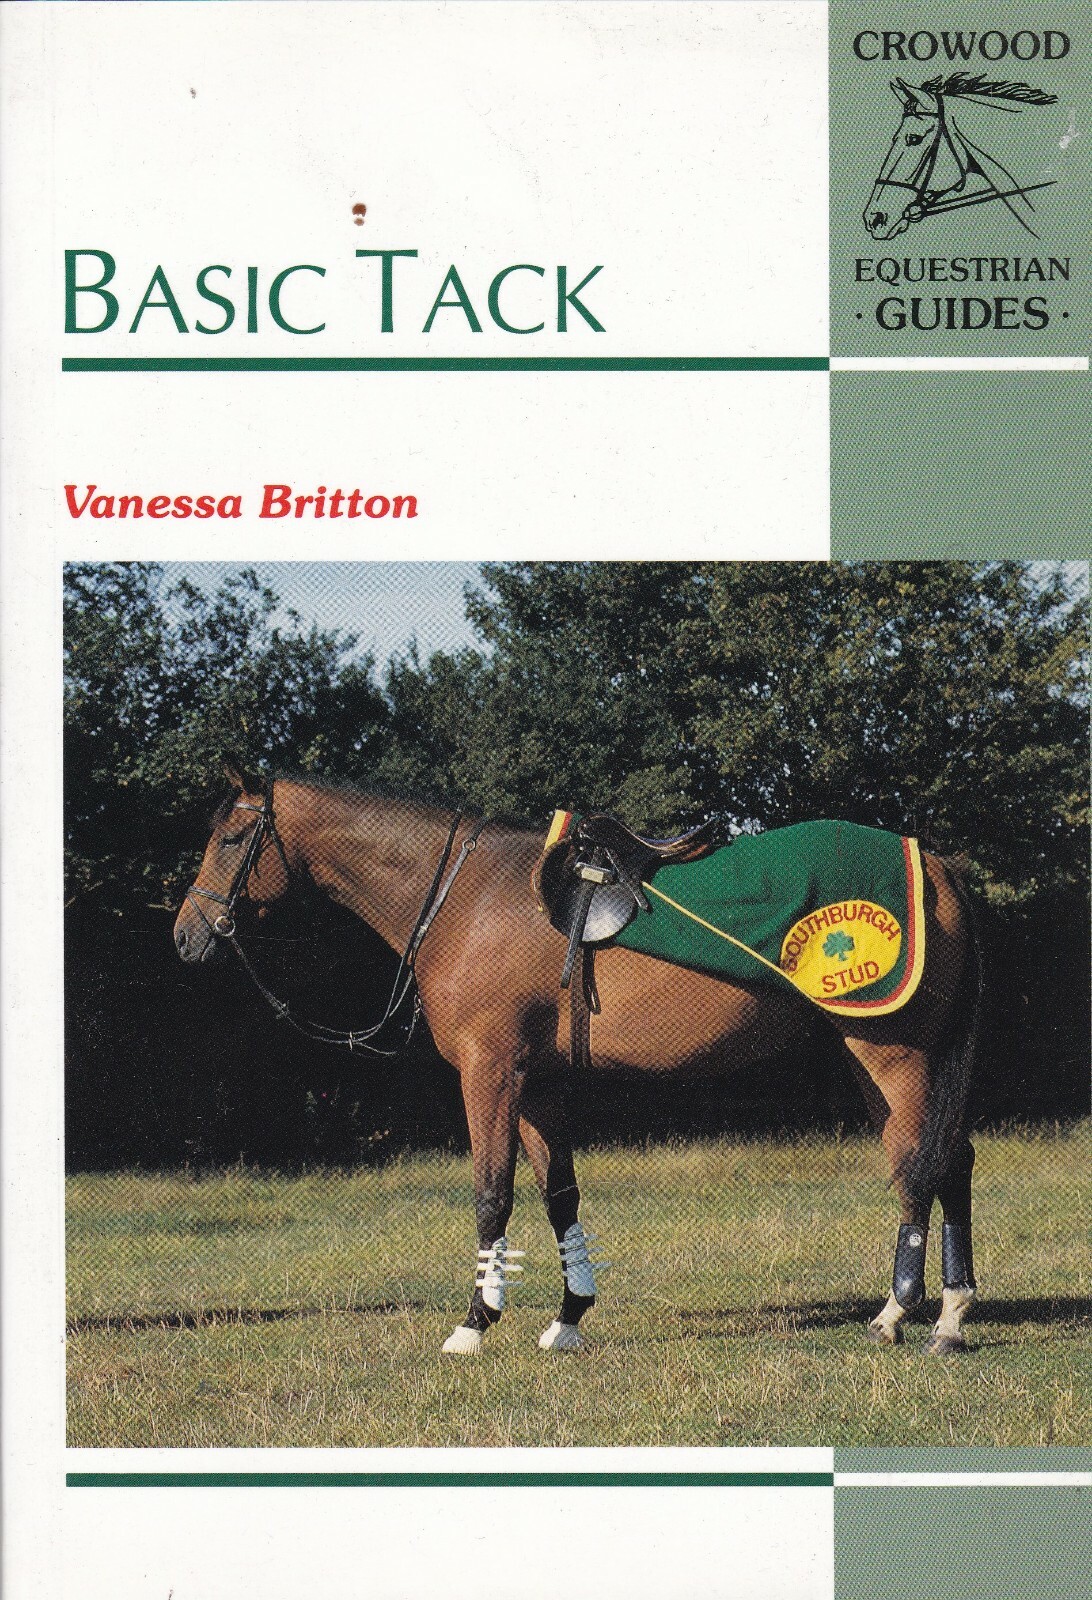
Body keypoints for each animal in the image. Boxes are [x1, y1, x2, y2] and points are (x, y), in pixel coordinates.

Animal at [173, 769, 982, 1357]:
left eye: (234, 836)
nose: (187, 933)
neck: (465, 898)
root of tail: (936, 866)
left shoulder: (491, 1073)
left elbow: (492, 1195)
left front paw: (475, 1321)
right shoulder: (539, 1085)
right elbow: (560, 1195)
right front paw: (569, 1315)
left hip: (890, 1053)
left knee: (919, 1164)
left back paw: (896, 1312)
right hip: (881, 1055)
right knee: (947, 1160)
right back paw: (949, 1315)